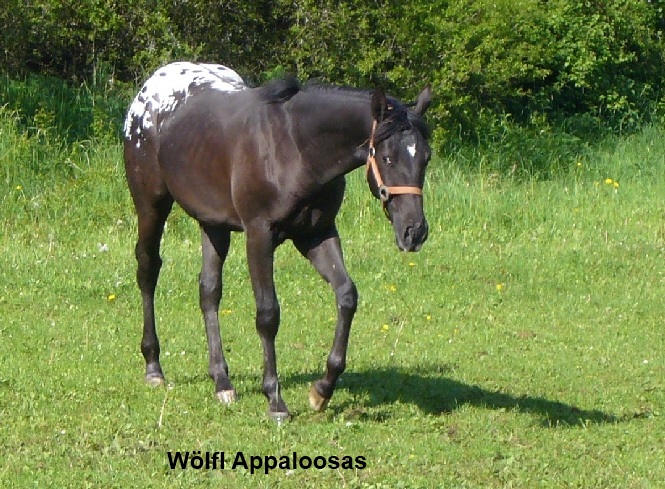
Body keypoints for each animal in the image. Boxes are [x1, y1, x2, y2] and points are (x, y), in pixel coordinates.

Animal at [123, 61, 432, 420]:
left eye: (425, 157)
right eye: (387, 158)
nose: (414, 231)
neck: (294, 147)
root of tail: (150, 89)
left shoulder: (317, 234)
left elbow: (346, 296)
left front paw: (321, 391)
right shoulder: (259, 235)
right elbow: (268, 314)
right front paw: (275, 399)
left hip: (213, 225)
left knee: (209, 292)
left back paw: (222, 382)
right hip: (151, 205)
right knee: (148, 271)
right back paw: (154, 367)